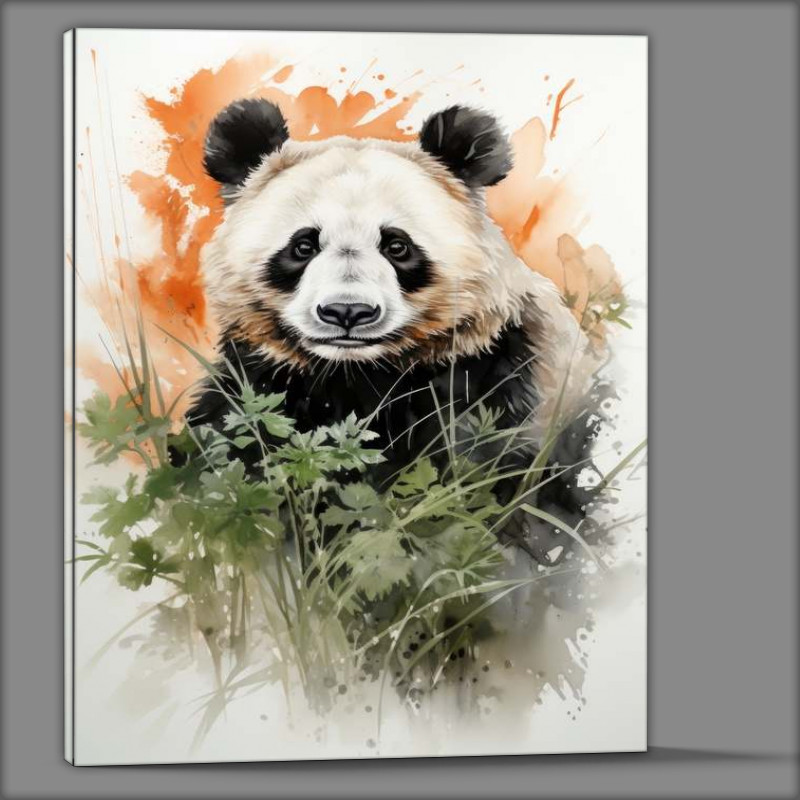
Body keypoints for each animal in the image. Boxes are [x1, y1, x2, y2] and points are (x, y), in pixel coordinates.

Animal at [186, 98, 604, 564]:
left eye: (397, 246)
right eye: (303, 245)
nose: (347, 312)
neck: (355, 373)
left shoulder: (494, 377)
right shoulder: (259, 384)